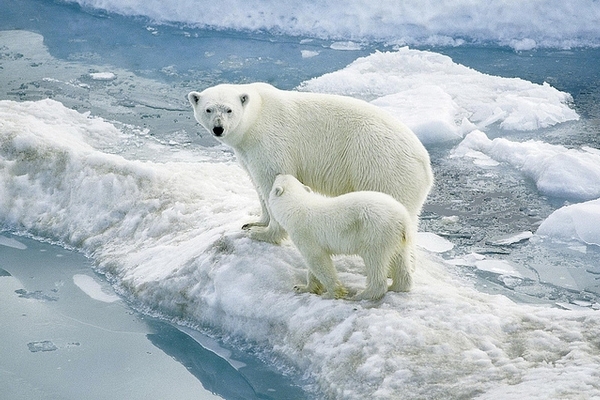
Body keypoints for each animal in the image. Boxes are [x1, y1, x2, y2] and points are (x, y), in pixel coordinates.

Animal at [188, 82, 432, 290]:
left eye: (229, 110)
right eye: (208, 109)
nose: (218, 129)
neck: (256, 117)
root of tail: (425, 165)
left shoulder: (270, 142)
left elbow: (270, 180)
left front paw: (264, 233)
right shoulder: (246, 152)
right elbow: (256, 184)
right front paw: (253, 223)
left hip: (381, 168)